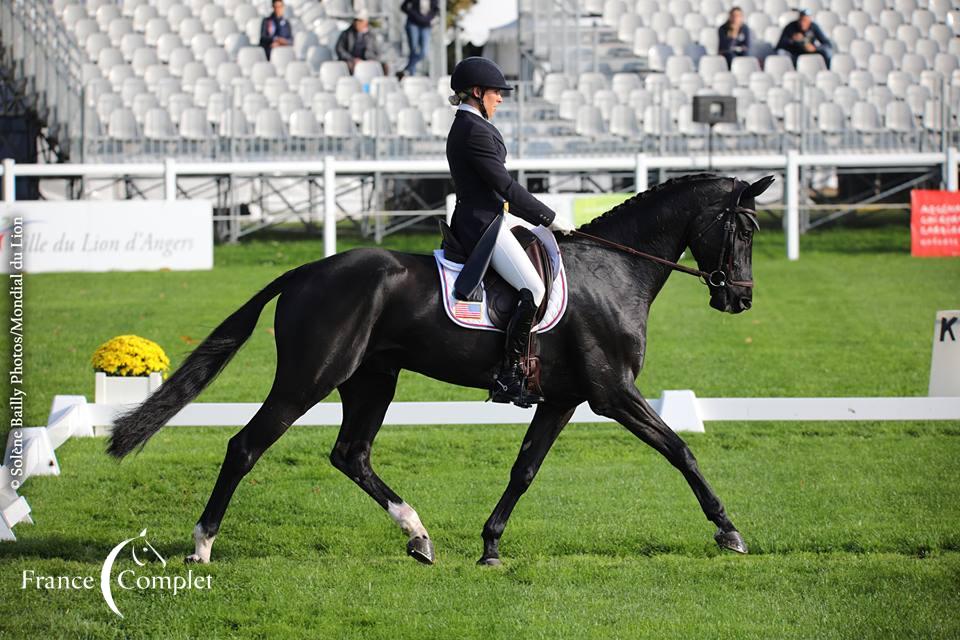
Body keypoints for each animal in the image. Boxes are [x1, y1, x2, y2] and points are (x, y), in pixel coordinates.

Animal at [105, 171, 772, 564]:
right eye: (742, 228)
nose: (740, 300)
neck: (614, 273)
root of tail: (307, 270)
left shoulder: (564, 398)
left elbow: (524, 470)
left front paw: (490, 545)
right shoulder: (614, 392)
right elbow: (681, 449)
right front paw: (728, 530)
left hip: (372, 379)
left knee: (351, 454)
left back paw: (418, 535)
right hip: (310, 378)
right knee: (246, 446)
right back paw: (201, 546)